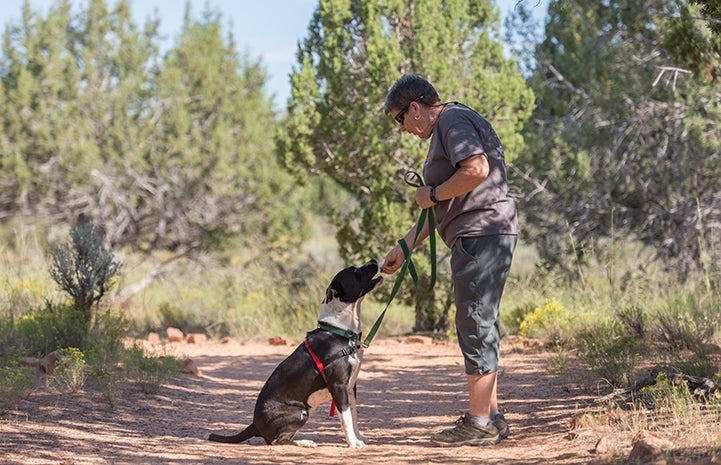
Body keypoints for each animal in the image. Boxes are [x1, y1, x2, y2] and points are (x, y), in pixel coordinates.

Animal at [207, 260, 382, 444]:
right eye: (356, 271)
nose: (374, 261)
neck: (341, 331)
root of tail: (254, 425)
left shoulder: (350, 387)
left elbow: (354, 416)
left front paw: (359, 438)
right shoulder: (338, 386)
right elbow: (346, 418)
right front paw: (353, 443)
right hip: (300, 412)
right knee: (277, 441)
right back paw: (304, 442)